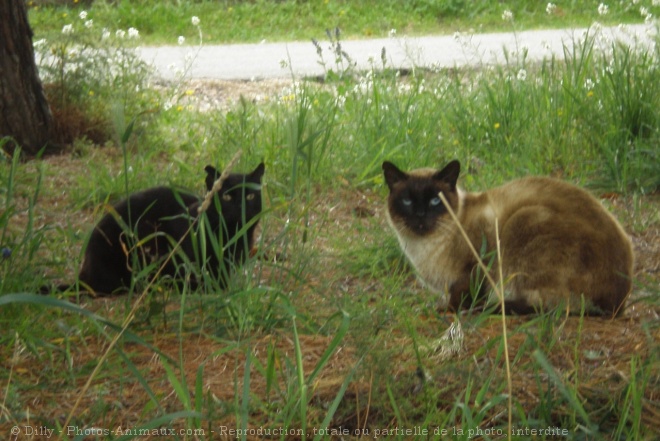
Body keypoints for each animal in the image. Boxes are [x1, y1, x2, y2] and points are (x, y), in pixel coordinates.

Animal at [382, 159, 636, 316]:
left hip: (523, 219)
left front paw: (449, 309)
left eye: (436, 200)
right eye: (407, 201)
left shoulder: (477, 264)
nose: (420, 215)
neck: (423, 249)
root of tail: (617, 304)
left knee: (549, 306)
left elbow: (462, 295)